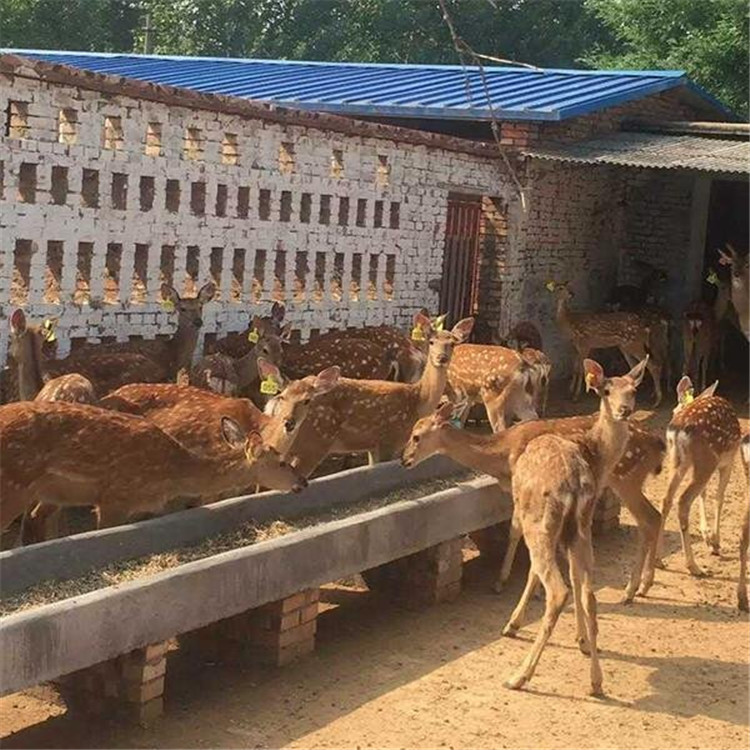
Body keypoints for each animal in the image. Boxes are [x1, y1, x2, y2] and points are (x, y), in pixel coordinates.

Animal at [0, 400, 306, 548]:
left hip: (50, 492)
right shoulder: (115, 498)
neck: (170, 474)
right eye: (280, 461)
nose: (302, 482)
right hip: (13, 487)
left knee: (35, 520)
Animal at [274, 316, 476, 476]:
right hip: (314, 442)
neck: (419, 400)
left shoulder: (374, 445)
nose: (441, 358)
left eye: (453, 343)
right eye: (432, 341)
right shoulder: (390, 441)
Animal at [402, 356, 660, 608]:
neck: (502, 455)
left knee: (648, 518)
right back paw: (642, 586)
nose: (404, 459)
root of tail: (658, 443)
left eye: (416, 436)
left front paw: (502, 581)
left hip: (625, 479)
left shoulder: (520, 486)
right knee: (651, 518)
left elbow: (515, 528)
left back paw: (632, 590)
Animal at [660, 376, 744, 576]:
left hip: (676, 460)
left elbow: (704, 494)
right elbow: (719, 497)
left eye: (674, 407)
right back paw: (693, 565)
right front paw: (715, 542)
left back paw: (658, 560)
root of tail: (678, 429)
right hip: (707, 460)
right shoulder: (728, 460)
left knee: (666, 499)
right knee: (683, 501)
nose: (673, 413)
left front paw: (707, 535)